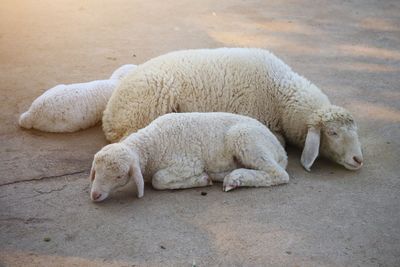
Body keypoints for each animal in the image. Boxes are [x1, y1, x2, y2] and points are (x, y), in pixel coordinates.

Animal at [89, 112, 290, 202]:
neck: (153, 142)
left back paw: (234, 179)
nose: (95, 195)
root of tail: (281, 151)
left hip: (245, 137)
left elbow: (158, 180)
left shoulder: (187, 164)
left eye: (118, 176)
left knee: (278, 174)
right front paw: (205, 177)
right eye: (96, 171)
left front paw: (201, 179)